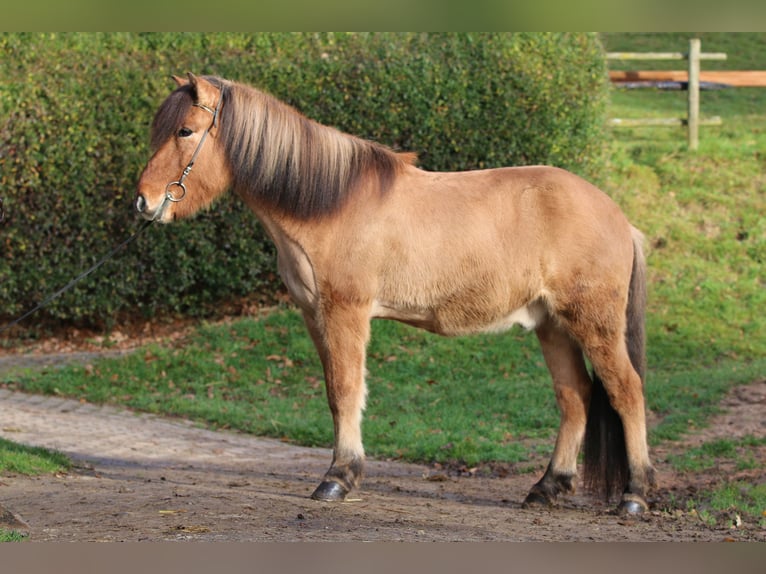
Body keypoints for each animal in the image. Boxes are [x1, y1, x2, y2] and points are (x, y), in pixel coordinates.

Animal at [136, 73, 655, 515]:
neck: (329, 203)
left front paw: (338, 478)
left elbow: (346, 389)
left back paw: (634, 495)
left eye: (185, 130)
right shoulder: (314, 315)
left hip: (592, 323)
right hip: (552, 325)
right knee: (575, 397)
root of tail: (618, 216)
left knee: (626, 391)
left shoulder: (346, 312)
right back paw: (547, 488)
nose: (145, 201)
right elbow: (334, 392)